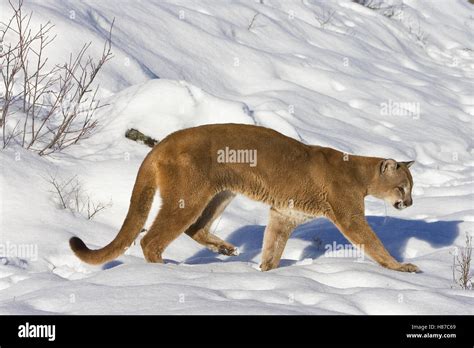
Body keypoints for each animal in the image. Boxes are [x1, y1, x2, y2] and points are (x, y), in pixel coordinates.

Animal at [68, 123, 416, 274]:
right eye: (402, 188)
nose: (410, 203)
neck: (360, 174)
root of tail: (162, 142)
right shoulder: (349, 216)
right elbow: (373, 243)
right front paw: (401, 267)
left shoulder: (284, 214)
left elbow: (273, 246)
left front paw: (266, 272)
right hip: (189, 196)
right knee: (151, 239)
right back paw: (167, 270)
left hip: (221, 192)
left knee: (194, 228)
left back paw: (224, 248)